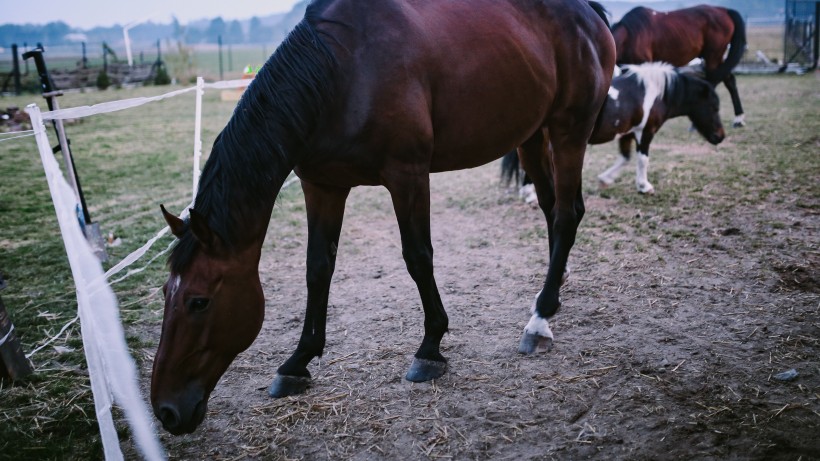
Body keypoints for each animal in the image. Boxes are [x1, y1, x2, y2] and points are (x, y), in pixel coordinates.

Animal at [152, 0, 616, 434]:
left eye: (199, 301)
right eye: (164, 294)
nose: (167, 411)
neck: (343, 73)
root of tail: (588, 14)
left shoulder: (407, 176)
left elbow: (418, 257)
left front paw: (430, 349)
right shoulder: (322, 186)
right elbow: (318, 269)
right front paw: (298, 361)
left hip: (568, 131)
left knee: (567, 214)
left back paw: (539, 319)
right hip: (532, 137)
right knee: (551, 208)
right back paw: (553, 291)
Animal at [502, 61, 728, 194]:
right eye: (714, 107)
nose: (720, 136)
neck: (654, 92)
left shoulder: (627, 133)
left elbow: (625, 158)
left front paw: (605, 179)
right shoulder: (645, 132)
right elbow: (642, 159)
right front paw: (644, 186)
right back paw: (530, 193)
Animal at [608, 4, 748, 127]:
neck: (630, 36)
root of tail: (724, 10)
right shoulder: (627, 69)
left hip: (713, 56)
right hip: (717, 58)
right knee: (729, 80)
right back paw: (739, 118)